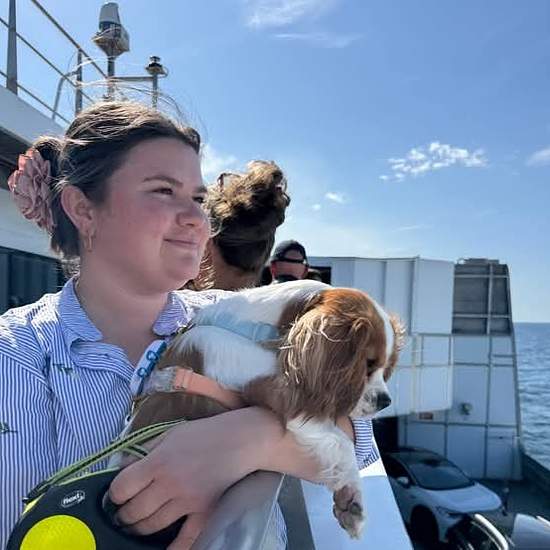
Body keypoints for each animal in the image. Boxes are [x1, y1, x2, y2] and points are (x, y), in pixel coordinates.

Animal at [122, 279, 404, 538]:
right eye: (367, 364)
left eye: (385, 367)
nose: (385, 401)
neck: (256, 331)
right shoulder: (286, 394)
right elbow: (342, 441)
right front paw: (351, 497)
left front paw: (350, 498)